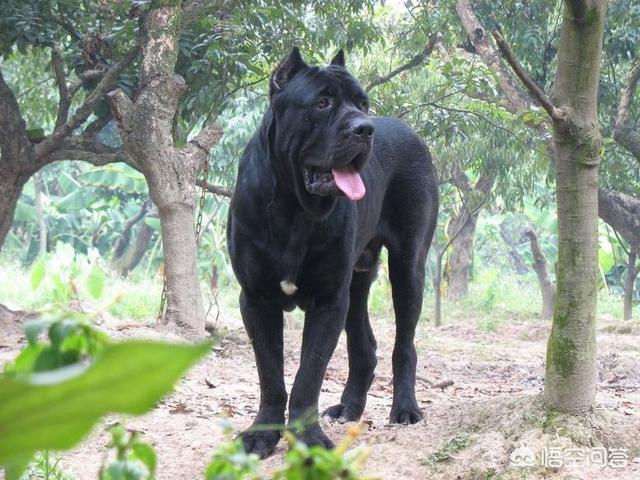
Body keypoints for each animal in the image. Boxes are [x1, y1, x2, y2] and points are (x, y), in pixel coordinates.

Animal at [226, 48, 440, 458]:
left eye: (363, 104)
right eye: (322, 103)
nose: (365, 129)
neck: (293, 209)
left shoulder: (327, 301)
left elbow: (309, 373)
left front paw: (307, 438)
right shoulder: (256, 299)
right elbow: (270, 374)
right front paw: (262, 434)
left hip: (408, 268)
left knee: (404, 344)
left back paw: (405, 408)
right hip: (356, 281)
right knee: (364, 345)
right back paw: (348, 407)